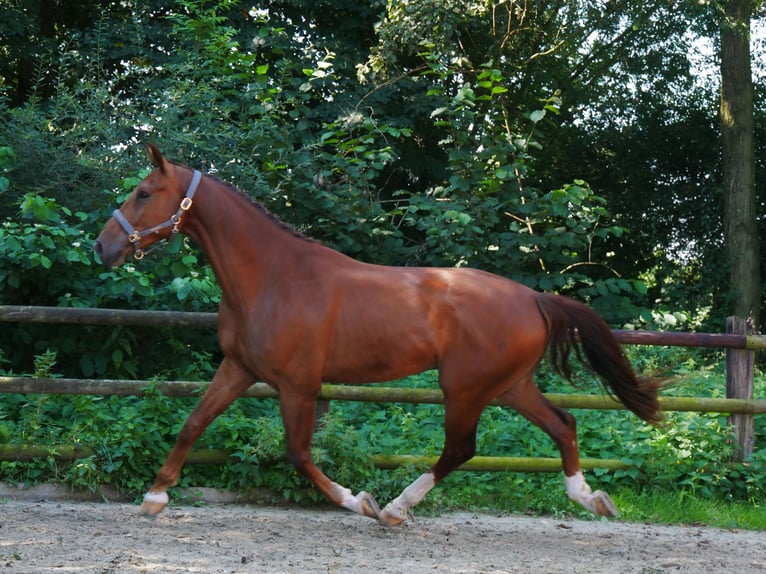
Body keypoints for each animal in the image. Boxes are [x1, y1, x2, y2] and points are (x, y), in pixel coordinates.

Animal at [94, 145, 660, 528]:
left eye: (144, 192)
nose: (103, 247)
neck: (273, 277)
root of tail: (535, 298)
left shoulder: (298, 385)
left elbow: (299, 454)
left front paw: (358, 501)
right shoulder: (240, 369)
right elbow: (192, 424)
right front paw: (155, 497)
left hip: (465, 388)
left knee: (462, 448)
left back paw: (393, 508)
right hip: (509, 385)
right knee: (563, 424)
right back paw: (591, 499)